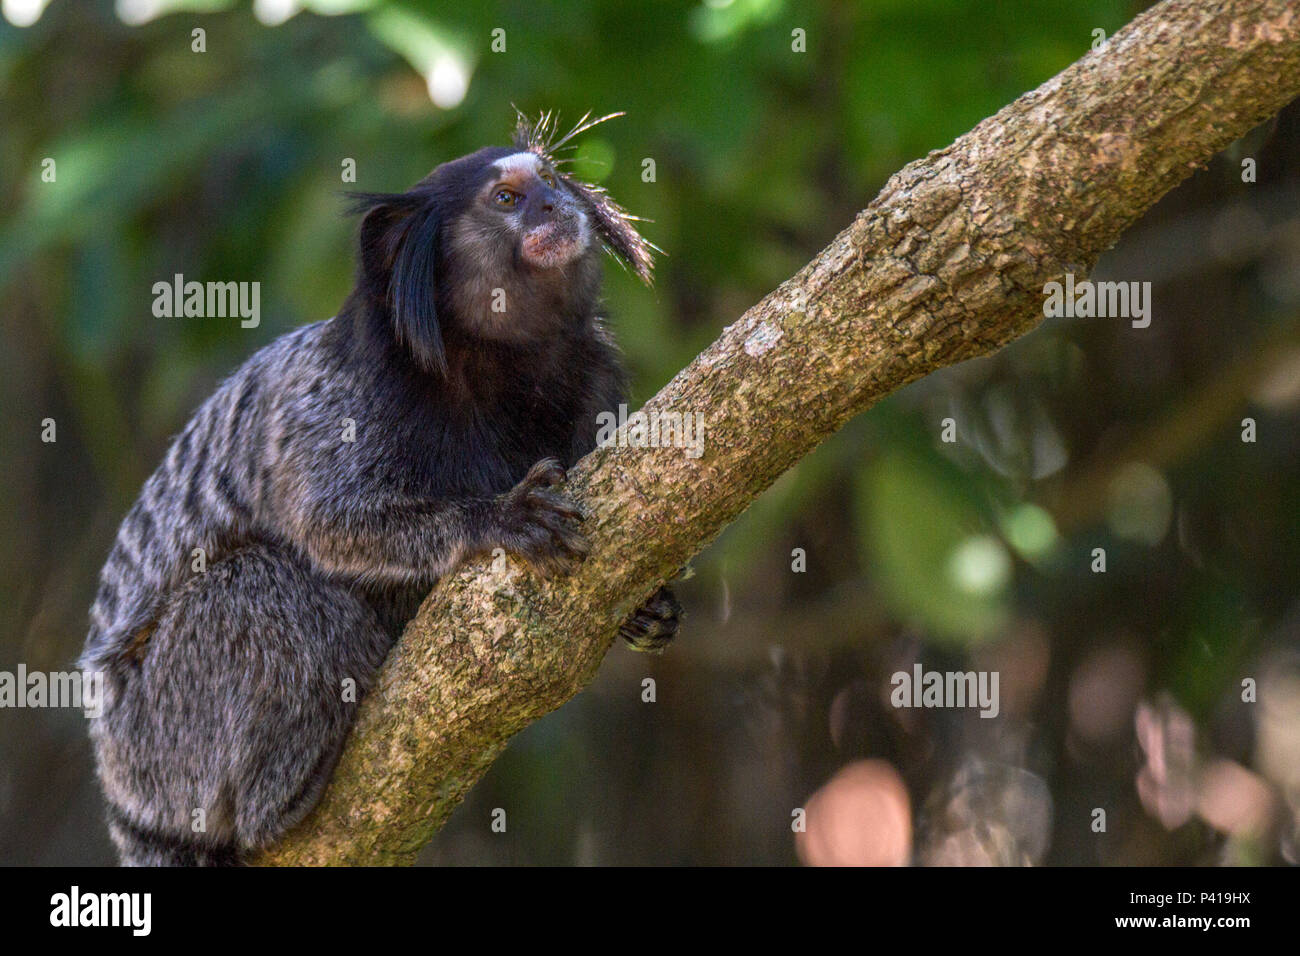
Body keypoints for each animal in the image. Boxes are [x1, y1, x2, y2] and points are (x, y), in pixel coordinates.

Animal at [78, 111, 681, 868]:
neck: (502, 361)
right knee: (263, 584)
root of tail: (119, 787)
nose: (554, 204)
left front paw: (648, 609)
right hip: (160, 736)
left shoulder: (592, 380)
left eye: (550, 181)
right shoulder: (355, 396)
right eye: (507, 199)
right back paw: (277, 804)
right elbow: (329, 521)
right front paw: (497, 521)